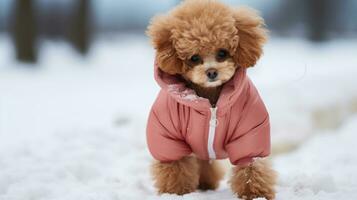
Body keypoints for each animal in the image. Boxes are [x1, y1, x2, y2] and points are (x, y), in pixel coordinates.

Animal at [145, 0, 276, 199]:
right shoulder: (168, 137)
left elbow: (251, 167)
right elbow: (176, 166)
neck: (211, 102)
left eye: (222, 53)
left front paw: (254, 193)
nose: (212, 72)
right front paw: (176, 192)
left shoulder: (249, 133)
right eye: (194, 57)